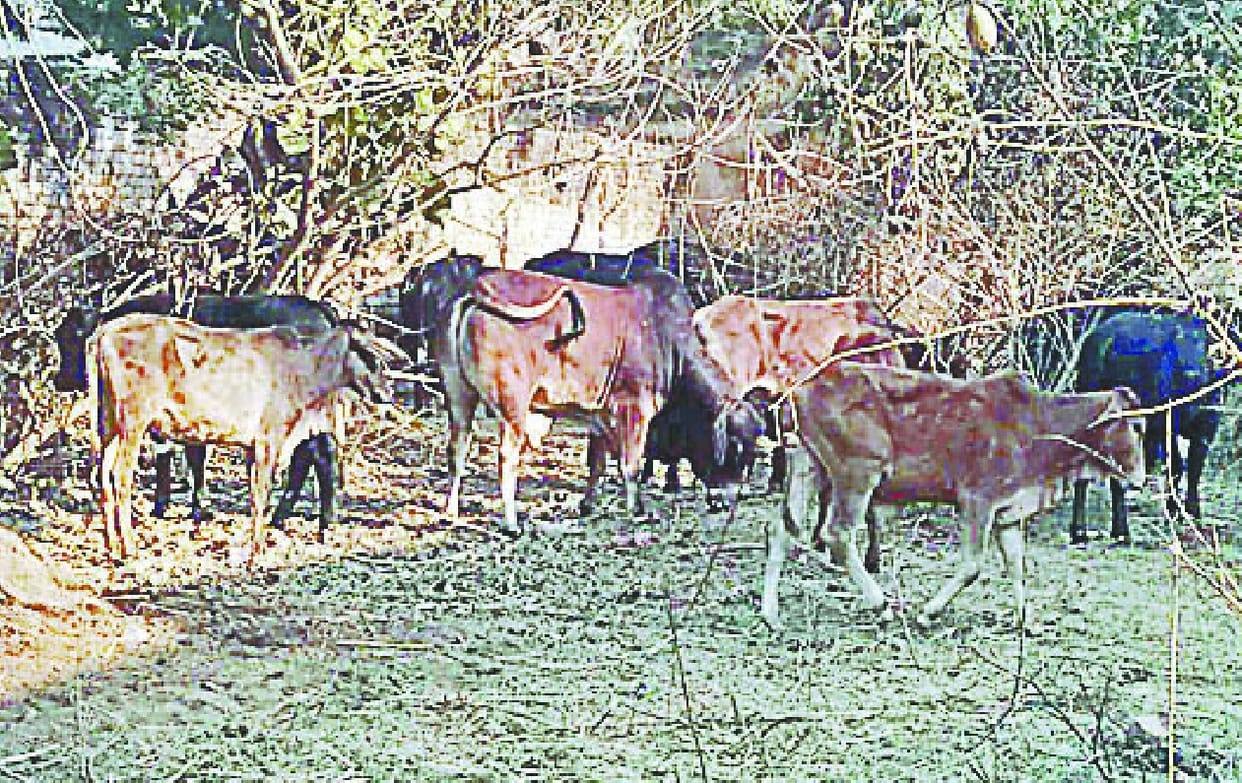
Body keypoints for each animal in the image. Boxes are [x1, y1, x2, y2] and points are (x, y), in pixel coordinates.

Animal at [54, 294, 341, 532]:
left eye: (72, 338)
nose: (60, 380)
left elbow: (178, 458)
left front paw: (171, 507)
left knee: (320, 456)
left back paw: (323, 520)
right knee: (308, 457)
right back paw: (284, 518)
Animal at [88, 314, 388, 560]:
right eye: (366, 354)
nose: (385, 393)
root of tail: (103, 332)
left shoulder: (253, 446)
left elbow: (255, 495)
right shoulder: (269, 438)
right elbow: (261, 496)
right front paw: (257, 551)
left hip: (108, 418)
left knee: (103, 473)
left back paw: (112, 545)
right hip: (133, 418)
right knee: (121, 475)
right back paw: (129, 546)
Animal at [441, 268, 765, 534]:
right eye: (734, 447)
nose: (729, 502)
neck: (668, 341)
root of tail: (477, 288)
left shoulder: (598, 415)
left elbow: (596, 463)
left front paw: (588, 505)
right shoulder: (634, 409)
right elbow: (631, 465)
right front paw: (637, 509)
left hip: (458, 396)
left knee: (457, 449)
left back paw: (450, 511)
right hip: (513, 406)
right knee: (507, 457)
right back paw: (511, 522)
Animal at [762, 364, 1146, 629]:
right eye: (1136, 426)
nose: (1140, 477)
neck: (1042, 426)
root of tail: (801, 390)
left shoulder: (1008, 513)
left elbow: (1017, 566)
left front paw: (1026, 621)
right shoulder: (978, 500)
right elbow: (973, 565)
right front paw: (928, 613)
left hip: (808, 465)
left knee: (783, 530)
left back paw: (771, 615)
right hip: (857, 472)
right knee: (837, 534)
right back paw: (881, 604)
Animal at [1071, 309, 1226, 544]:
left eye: (1204, 343)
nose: (1193, 371)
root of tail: (1104, 342)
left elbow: (1186, 470)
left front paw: (1183, 515)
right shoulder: (1182, 425)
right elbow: (1185, 469)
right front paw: (1187, 518)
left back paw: (1085, 532)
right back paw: (1120, 532)